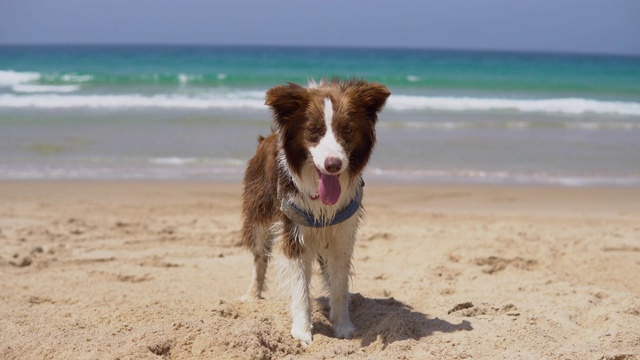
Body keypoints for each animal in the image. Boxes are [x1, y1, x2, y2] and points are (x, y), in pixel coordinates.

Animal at [241, 79, 388, 346]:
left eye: (347, 129)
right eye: (313, 130)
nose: (333, 165)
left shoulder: (342, 232)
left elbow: (339, 285)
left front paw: (342, 326)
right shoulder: (293, 228)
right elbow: (299, 286)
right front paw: (302, 331)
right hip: (258, 211)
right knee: (259, 256)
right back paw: (252, 295)